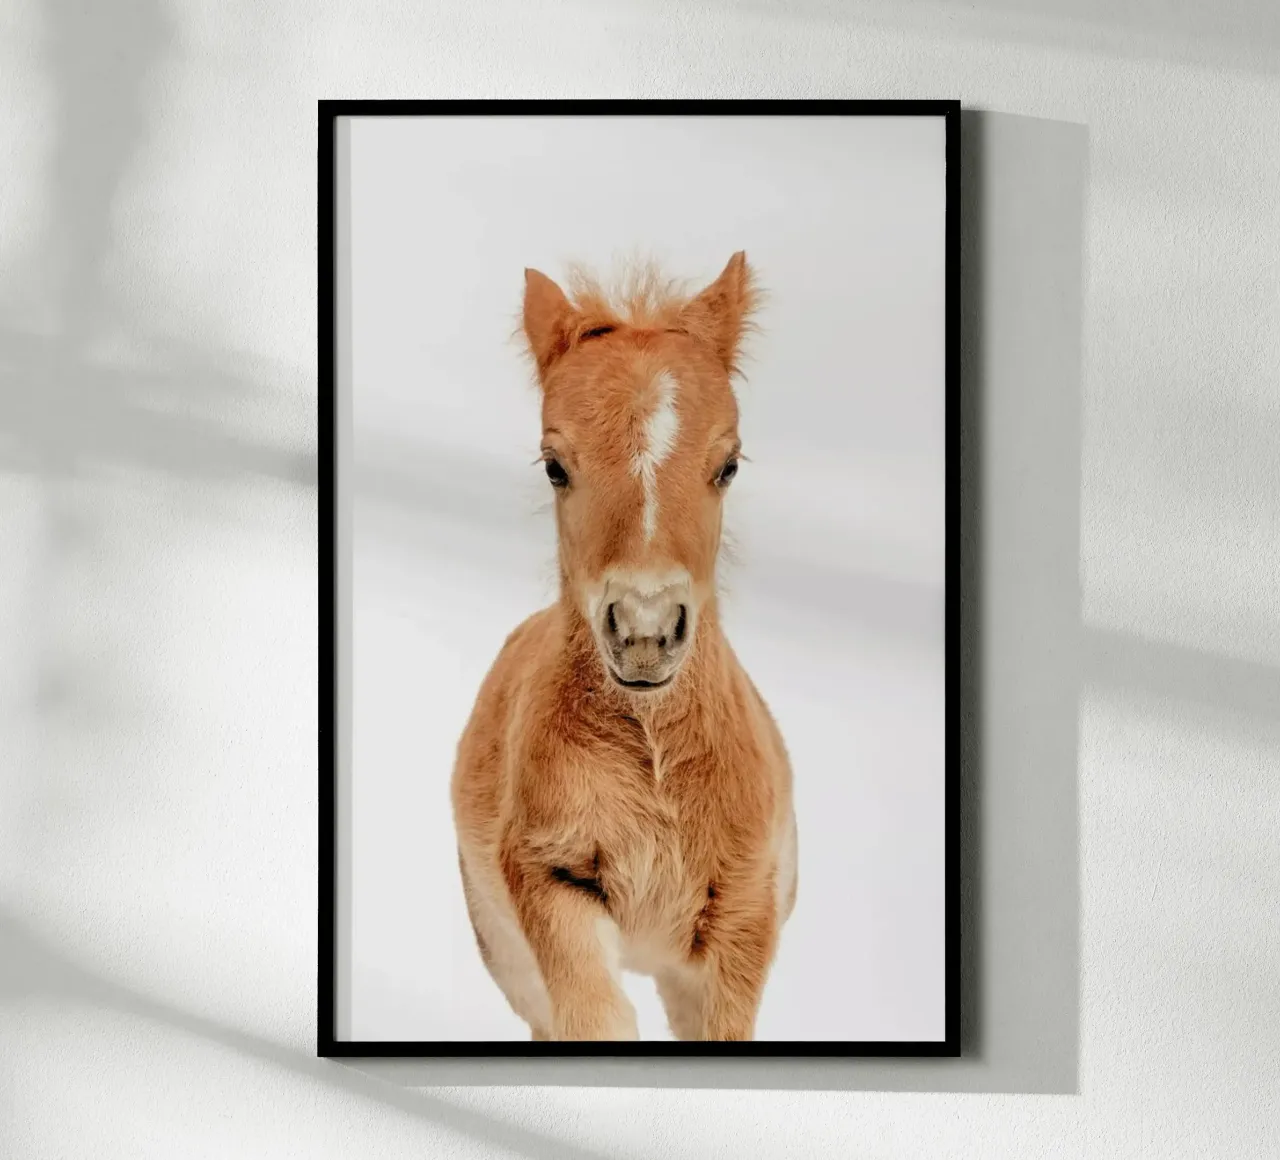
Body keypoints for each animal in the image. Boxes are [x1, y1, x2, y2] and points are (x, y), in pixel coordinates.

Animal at [450, 252, 797, 1041]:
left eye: (729, 464)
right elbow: (595, 1021)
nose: (643, 632)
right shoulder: (550, 879)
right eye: (555, 465)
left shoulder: (743, 917)